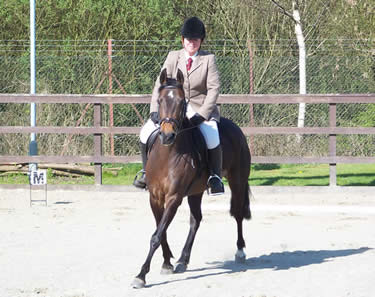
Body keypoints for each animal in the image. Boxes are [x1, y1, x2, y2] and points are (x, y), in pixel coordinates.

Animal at [132, 67, 253, 286]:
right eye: (160, 100)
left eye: (182, 102)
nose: (167, 136)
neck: (168, 154)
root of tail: (235, 128)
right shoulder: (155, 197)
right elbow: (161, 230)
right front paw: (167, 263)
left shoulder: (174, 197)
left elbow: (156, 235)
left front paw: (141, 275)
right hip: (196, 191)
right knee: (195, 220)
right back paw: (182, 259)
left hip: (237, 181)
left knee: (238, 213)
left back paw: (240, 251)